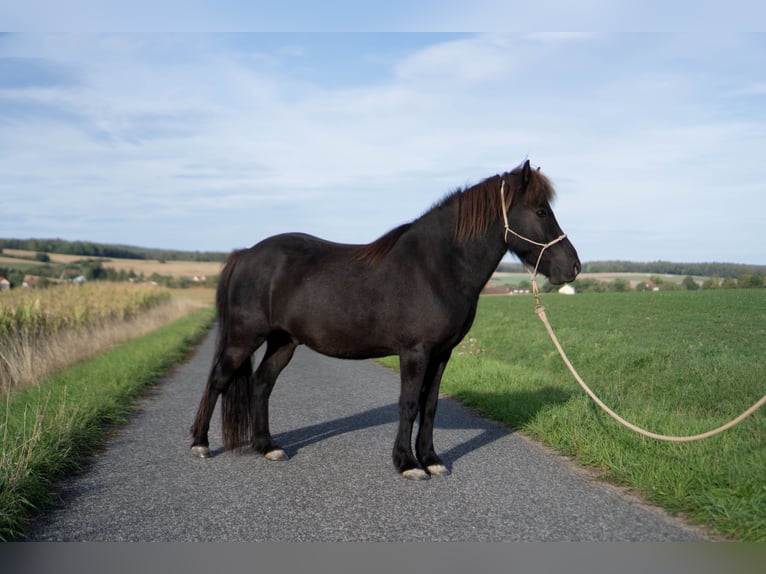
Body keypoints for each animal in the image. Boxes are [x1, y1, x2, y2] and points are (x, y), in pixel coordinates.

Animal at [190, 160, 581, 480]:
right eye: (541, 211)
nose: (572, 267)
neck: (436, 268)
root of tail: (246, 254)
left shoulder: (442, 354)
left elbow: (430, 405)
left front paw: (432, 460)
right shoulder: (415, 353)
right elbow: (408, 404)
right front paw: (407, 464)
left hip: (283, 341)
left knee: (261, 384)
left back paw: (267, 446)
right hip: (244, 338)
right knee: (218, 379)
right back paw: (200, 443)